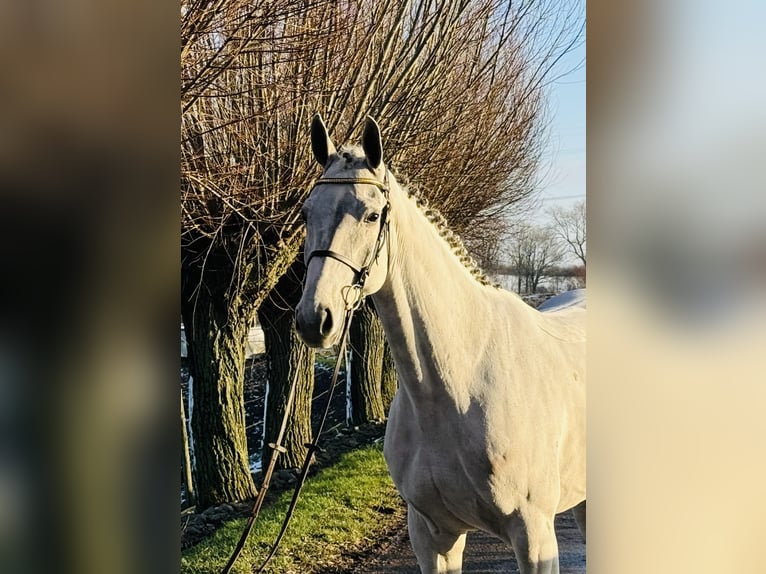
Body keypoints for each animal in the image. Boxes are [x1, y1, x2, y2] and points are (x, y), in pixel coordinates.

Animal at [296, 117, 584, 574]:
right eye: (307, 212)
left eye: (372, 215)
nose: (316, 318)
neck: (458, 385)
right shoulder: (433, 535)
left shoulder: (535, 538)